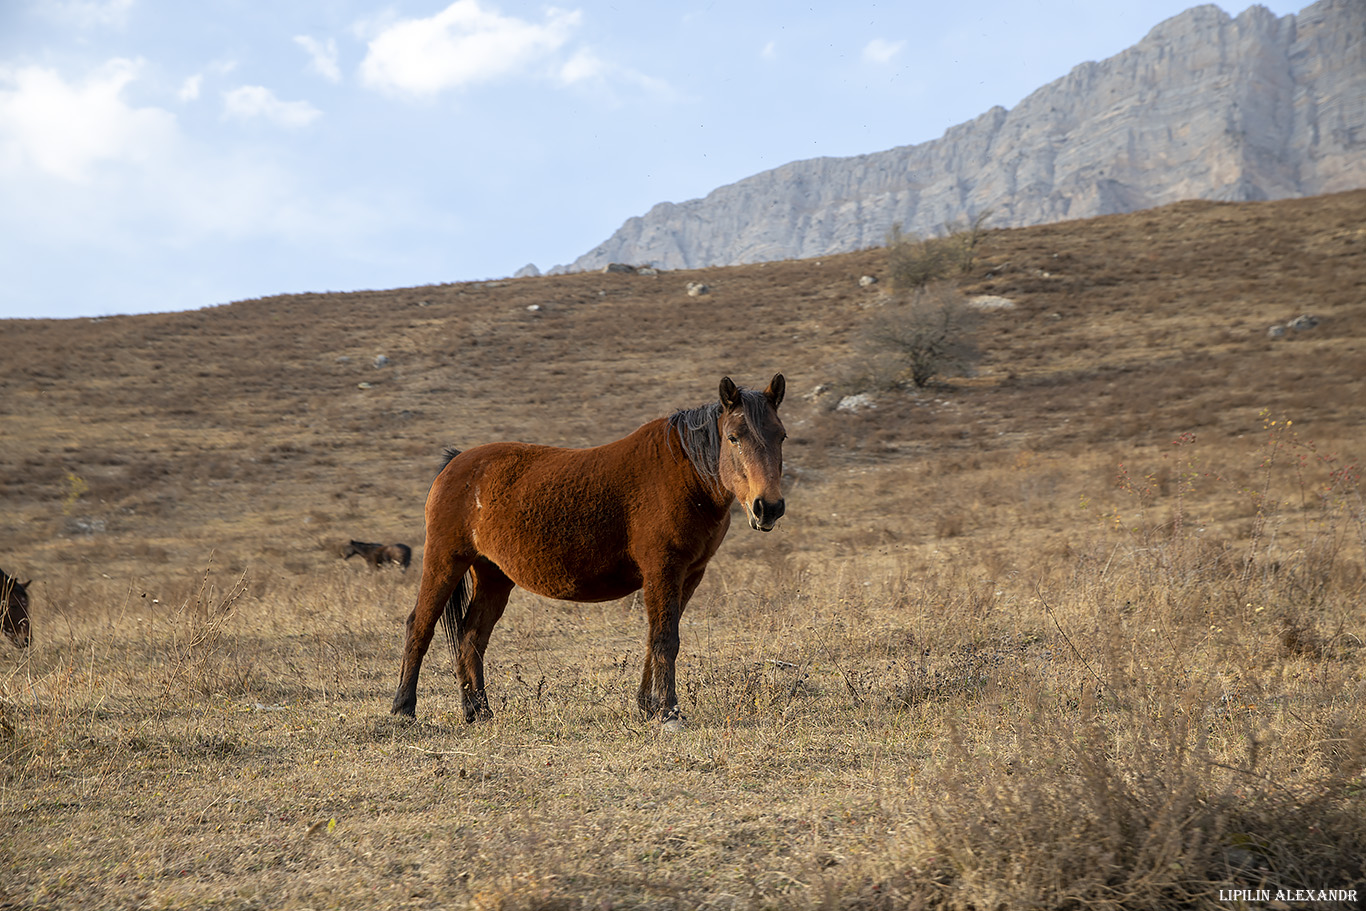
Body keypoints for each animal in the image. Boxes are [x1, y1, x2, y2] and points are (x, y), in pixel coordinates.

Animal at [390, 374, 786, 732]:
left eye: (780, 435)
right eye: (733, 437)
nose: (768, 507)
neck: (685, 474)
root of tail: (456, 463)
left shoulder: (689, 574)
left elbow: (656, 637)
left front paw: (647, 706)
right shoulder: (663, 570)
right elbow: (665, 638)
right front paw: (668, 712)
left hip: (493, 576)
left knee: (472, 637)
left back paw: (478, 711)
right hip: (445, 562)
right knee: (419, 627)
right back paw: (403, 710)